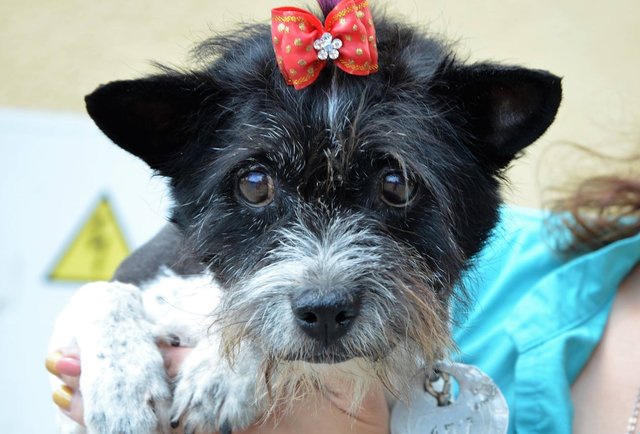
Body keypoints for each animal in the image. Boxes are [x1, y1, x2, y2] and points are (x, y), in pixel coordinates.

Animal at [49, 0, 561, 433]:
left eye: (396, 184)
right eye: (255, 183)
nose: (326, 310)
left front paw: (222, 373)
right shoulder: (141, 274)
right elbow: (101, 293)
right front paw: (124, 389)